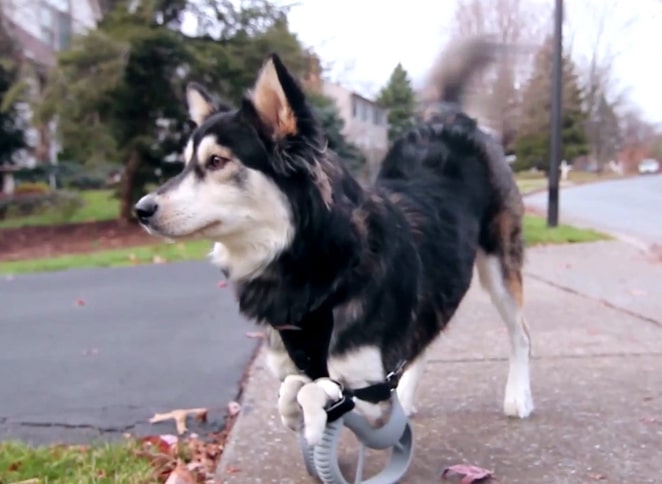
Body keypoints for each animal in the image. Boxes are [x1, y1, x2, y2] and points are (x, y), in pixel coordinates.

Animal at [135, 36, 536, 446]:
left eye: (216, 161)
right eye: (184, 164)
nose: (141, 209)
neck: (317, 265)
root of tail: (450, 120)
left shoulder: (373, 392)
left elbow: (317, 389)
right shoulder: (301, 367)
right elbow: (294, 387)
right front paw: (298, 414)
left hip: (500, 266)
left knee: (520, 333)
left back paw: (518, 396)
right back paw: (407, 396)